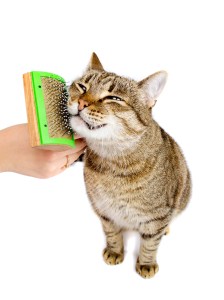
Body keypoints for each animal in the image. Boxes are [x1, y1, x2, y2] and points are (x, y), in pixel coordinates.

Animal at [67, 53, 192, 278]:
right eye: (82, 87)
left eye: (114, 98)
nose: (81, 102)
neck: (113, 163)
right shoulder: (103, 210)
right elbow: (112, 233)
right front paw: (115, 251)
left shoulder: (158, 216)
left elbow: (150, 243)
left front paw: (146, 263)